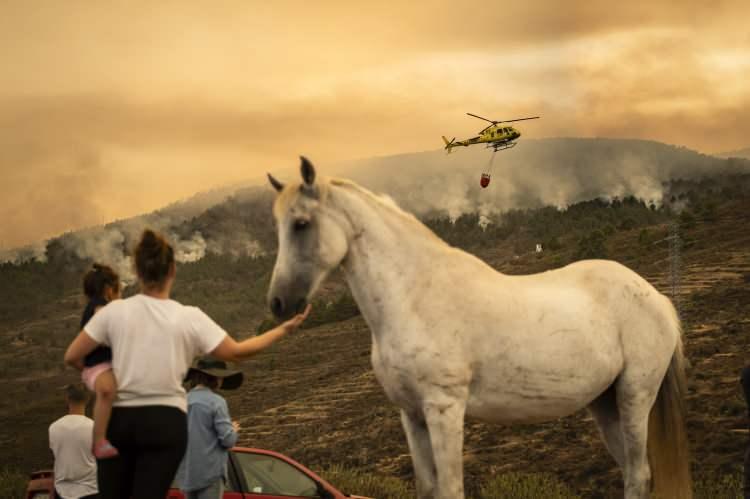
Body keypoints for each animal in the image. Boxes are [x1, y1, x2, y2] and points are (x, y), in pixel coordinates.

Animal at [266, 158, 692, 498]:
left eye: (301, 224)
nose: (278, 303)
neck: (415, 297)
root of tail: (657, 298)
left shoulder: (445, 409)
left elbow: (451, 490)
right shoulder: (412, 416)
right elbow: (428, 489)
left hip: (635, 394)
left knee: (638, 474)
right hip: (605, 403)